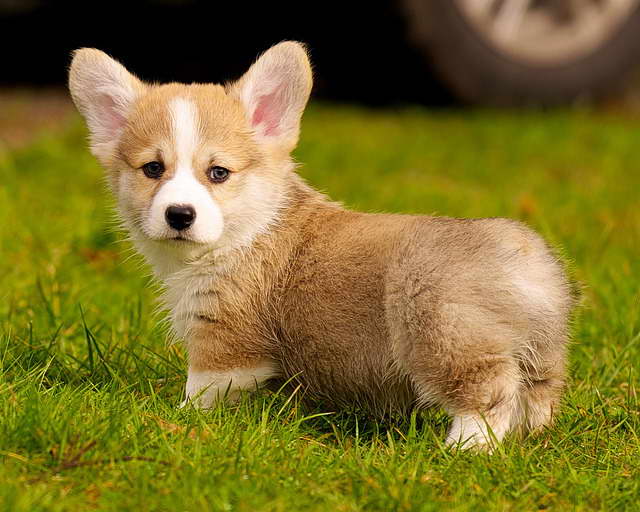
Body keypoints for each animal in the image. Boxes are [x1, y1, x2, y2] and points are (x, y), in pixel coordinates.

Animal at [67, 42, 572, 448]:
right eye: (153, 169)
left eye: (218, 173)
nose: (179, 215)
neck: (247, 233)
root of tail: (527, 260)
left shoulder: (224, 343)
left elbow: (201, 392)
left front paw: (176, 421)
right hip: (541, 352)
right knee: (536, 396)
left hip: (442, 332)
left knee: (489, 395)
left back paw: (463, 450)